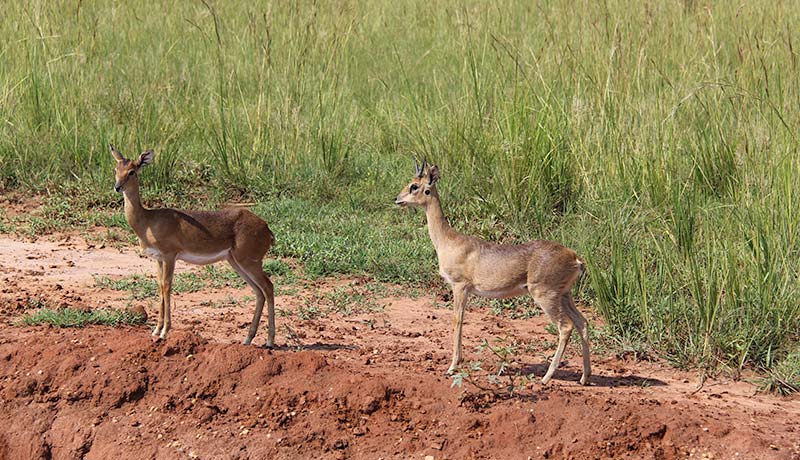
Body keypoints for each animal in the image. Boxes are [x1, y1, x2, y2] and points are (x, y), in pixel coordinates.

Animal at [110, 144, 276, 344]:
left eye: (132, 171)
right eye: (116, 169)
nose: (117, 187)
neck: (148, 221)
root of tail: (266, 228)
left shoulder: (170, 255)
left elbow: (167, 286)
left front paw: (164, 332)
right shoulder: (158, 259)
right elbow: (160, 286)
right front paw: (156, 330)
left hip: (250, 262)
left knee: (268, 287)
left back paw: (269, 341)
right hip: (235, 262)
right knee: (259, 292)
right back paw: (248, 339)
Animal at [396, 161, 592, 384]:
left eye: (414, 186)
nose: (397, 199)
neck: (448, 241)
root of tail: (575, 258)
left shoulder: (460, 286)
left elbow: (457, 320)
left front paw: (452, 366)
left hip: (546, 296)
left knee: (565, 327)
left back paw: (546, 377)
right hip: (565, 295)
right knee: (582, 323)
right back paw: (584, 377)